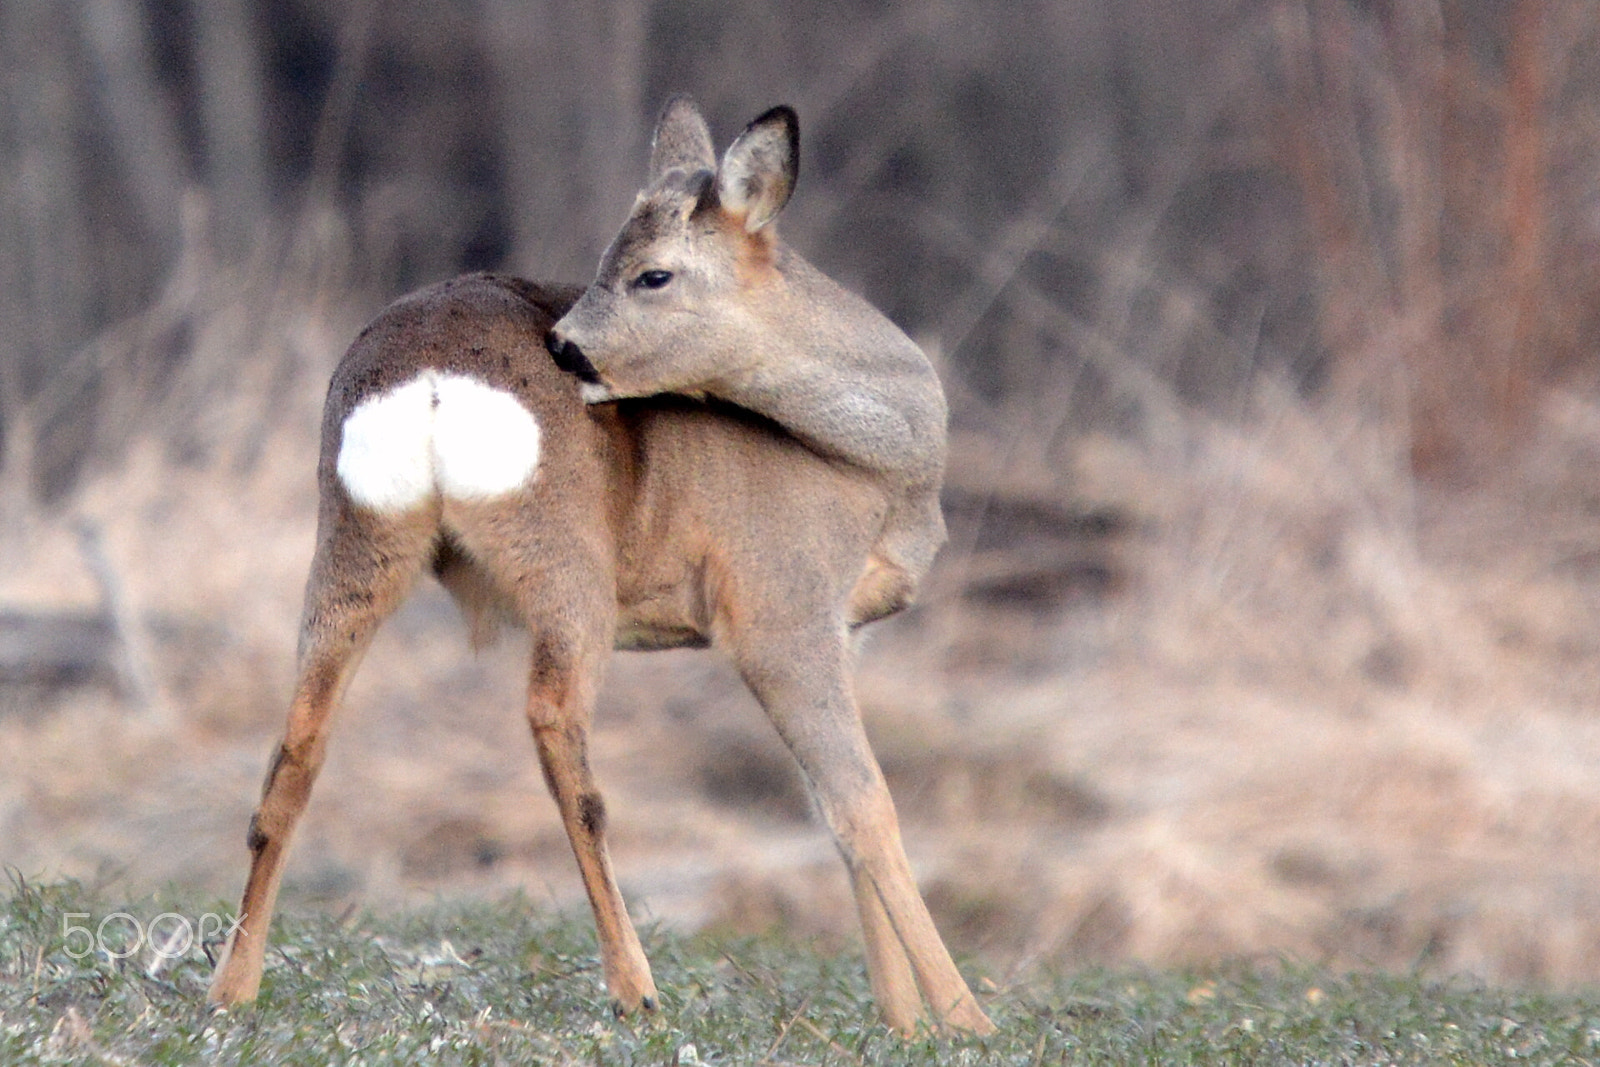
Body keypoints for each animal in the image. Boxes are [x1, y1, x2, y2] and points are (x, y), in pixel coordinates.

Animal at [206, 97, 992, 1036]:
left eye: (652, 274)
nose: (566, 348)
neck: (886, 467)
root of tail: (429, 377)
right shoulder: (780, 607)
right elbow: (864, 806)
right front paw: (962, 1017)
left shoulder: (846, 626)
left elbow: (827, 811)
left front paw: (900, 1016)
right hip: (564, 555)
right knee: (558, 728)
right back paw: (635, 983)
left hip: (353, 538)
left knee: (298, 740)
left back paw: (232, 984)